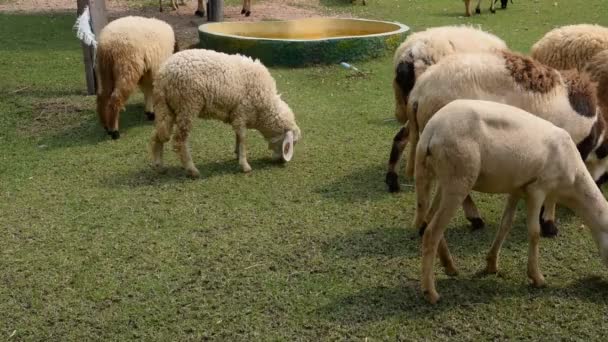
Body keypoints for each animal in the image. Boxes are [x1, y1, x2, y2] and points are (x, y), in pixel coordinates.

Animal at [147, 49, 300, 178]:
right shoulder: (241, 113)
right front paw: (244, 165)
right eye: (291, 143)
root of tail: (163, 74)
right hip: (188, 105)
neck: (264, 109)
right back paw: (192, 170)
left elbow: (238, 137)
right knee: (179, 140)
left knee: (158, 135)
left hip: (167, 108)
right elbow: (243, 138)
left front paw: (237, 154)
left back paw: (159, 166)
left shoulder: (237, 115)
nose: (282, 162)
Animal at [416, 99, 608, 304]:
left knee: (429, 220)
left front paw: (491, 264)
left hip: (444, 179)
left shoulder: (517, 189)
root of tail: (431, 130)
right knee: (432, 232)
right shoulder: (537, 189)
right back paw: (430, 292)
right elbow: (534, 232)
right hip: (458, 177)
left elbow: (505, 224)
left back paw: (450, 266)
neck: (572, 183)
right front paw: (537, 277)